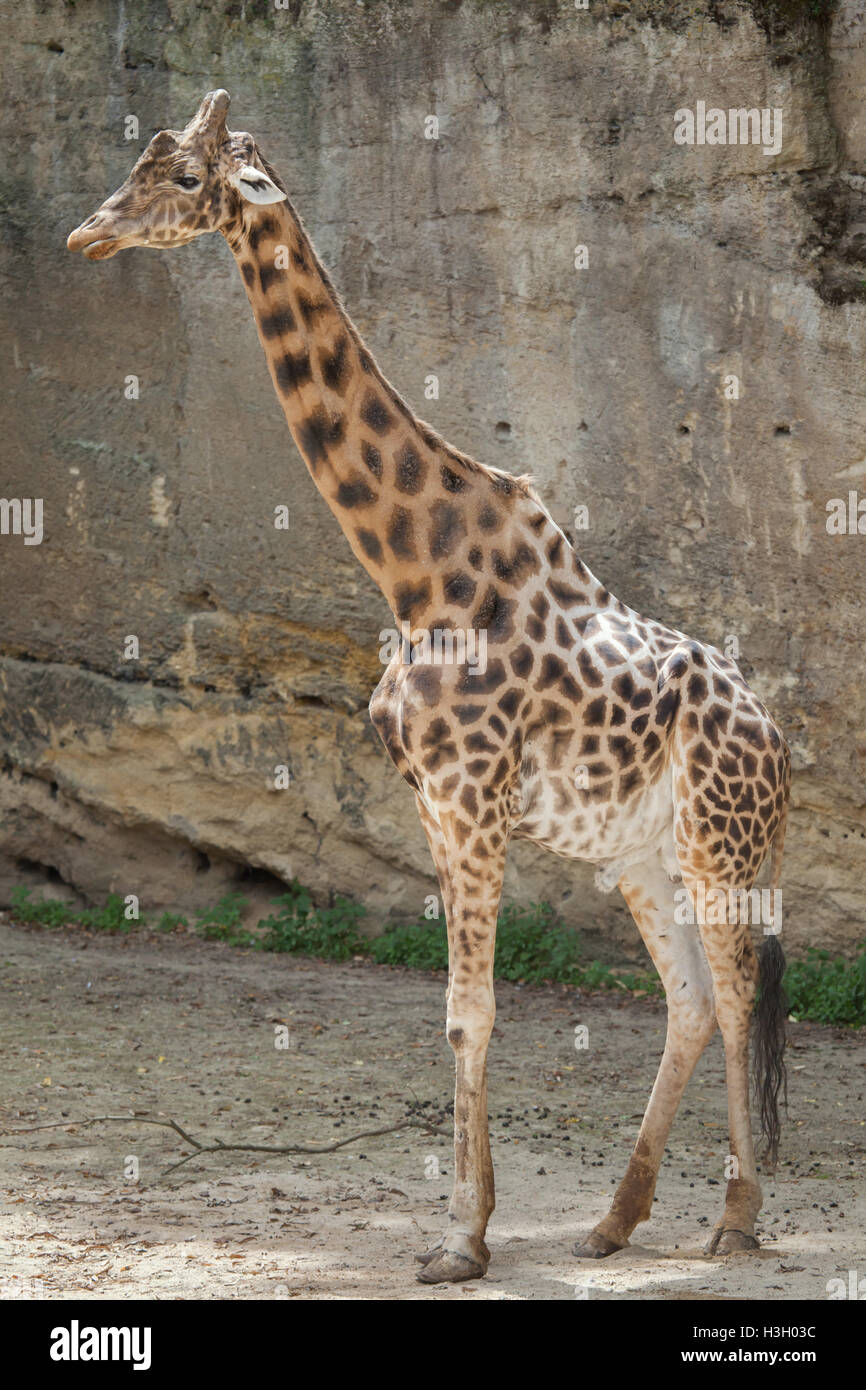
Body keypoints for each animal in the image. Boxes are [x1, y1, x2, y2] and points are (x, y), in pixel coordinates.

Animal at [68, 91, 791, 1284]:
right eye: (140, 162)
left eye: (183, 179)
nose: (87, 234)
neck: (413, 572)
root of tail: (779, 742)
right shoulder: (432, 803)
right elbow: (460, 1011)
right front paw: (478, 1225)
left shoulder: (469, 800)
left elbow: (472, 1011)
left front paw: (459, 1238)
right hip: (639, 853)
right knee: (688, 1001)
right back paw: (612, 1220)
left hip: (718, 842)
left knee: (733, 996)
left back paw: (732, 1219)